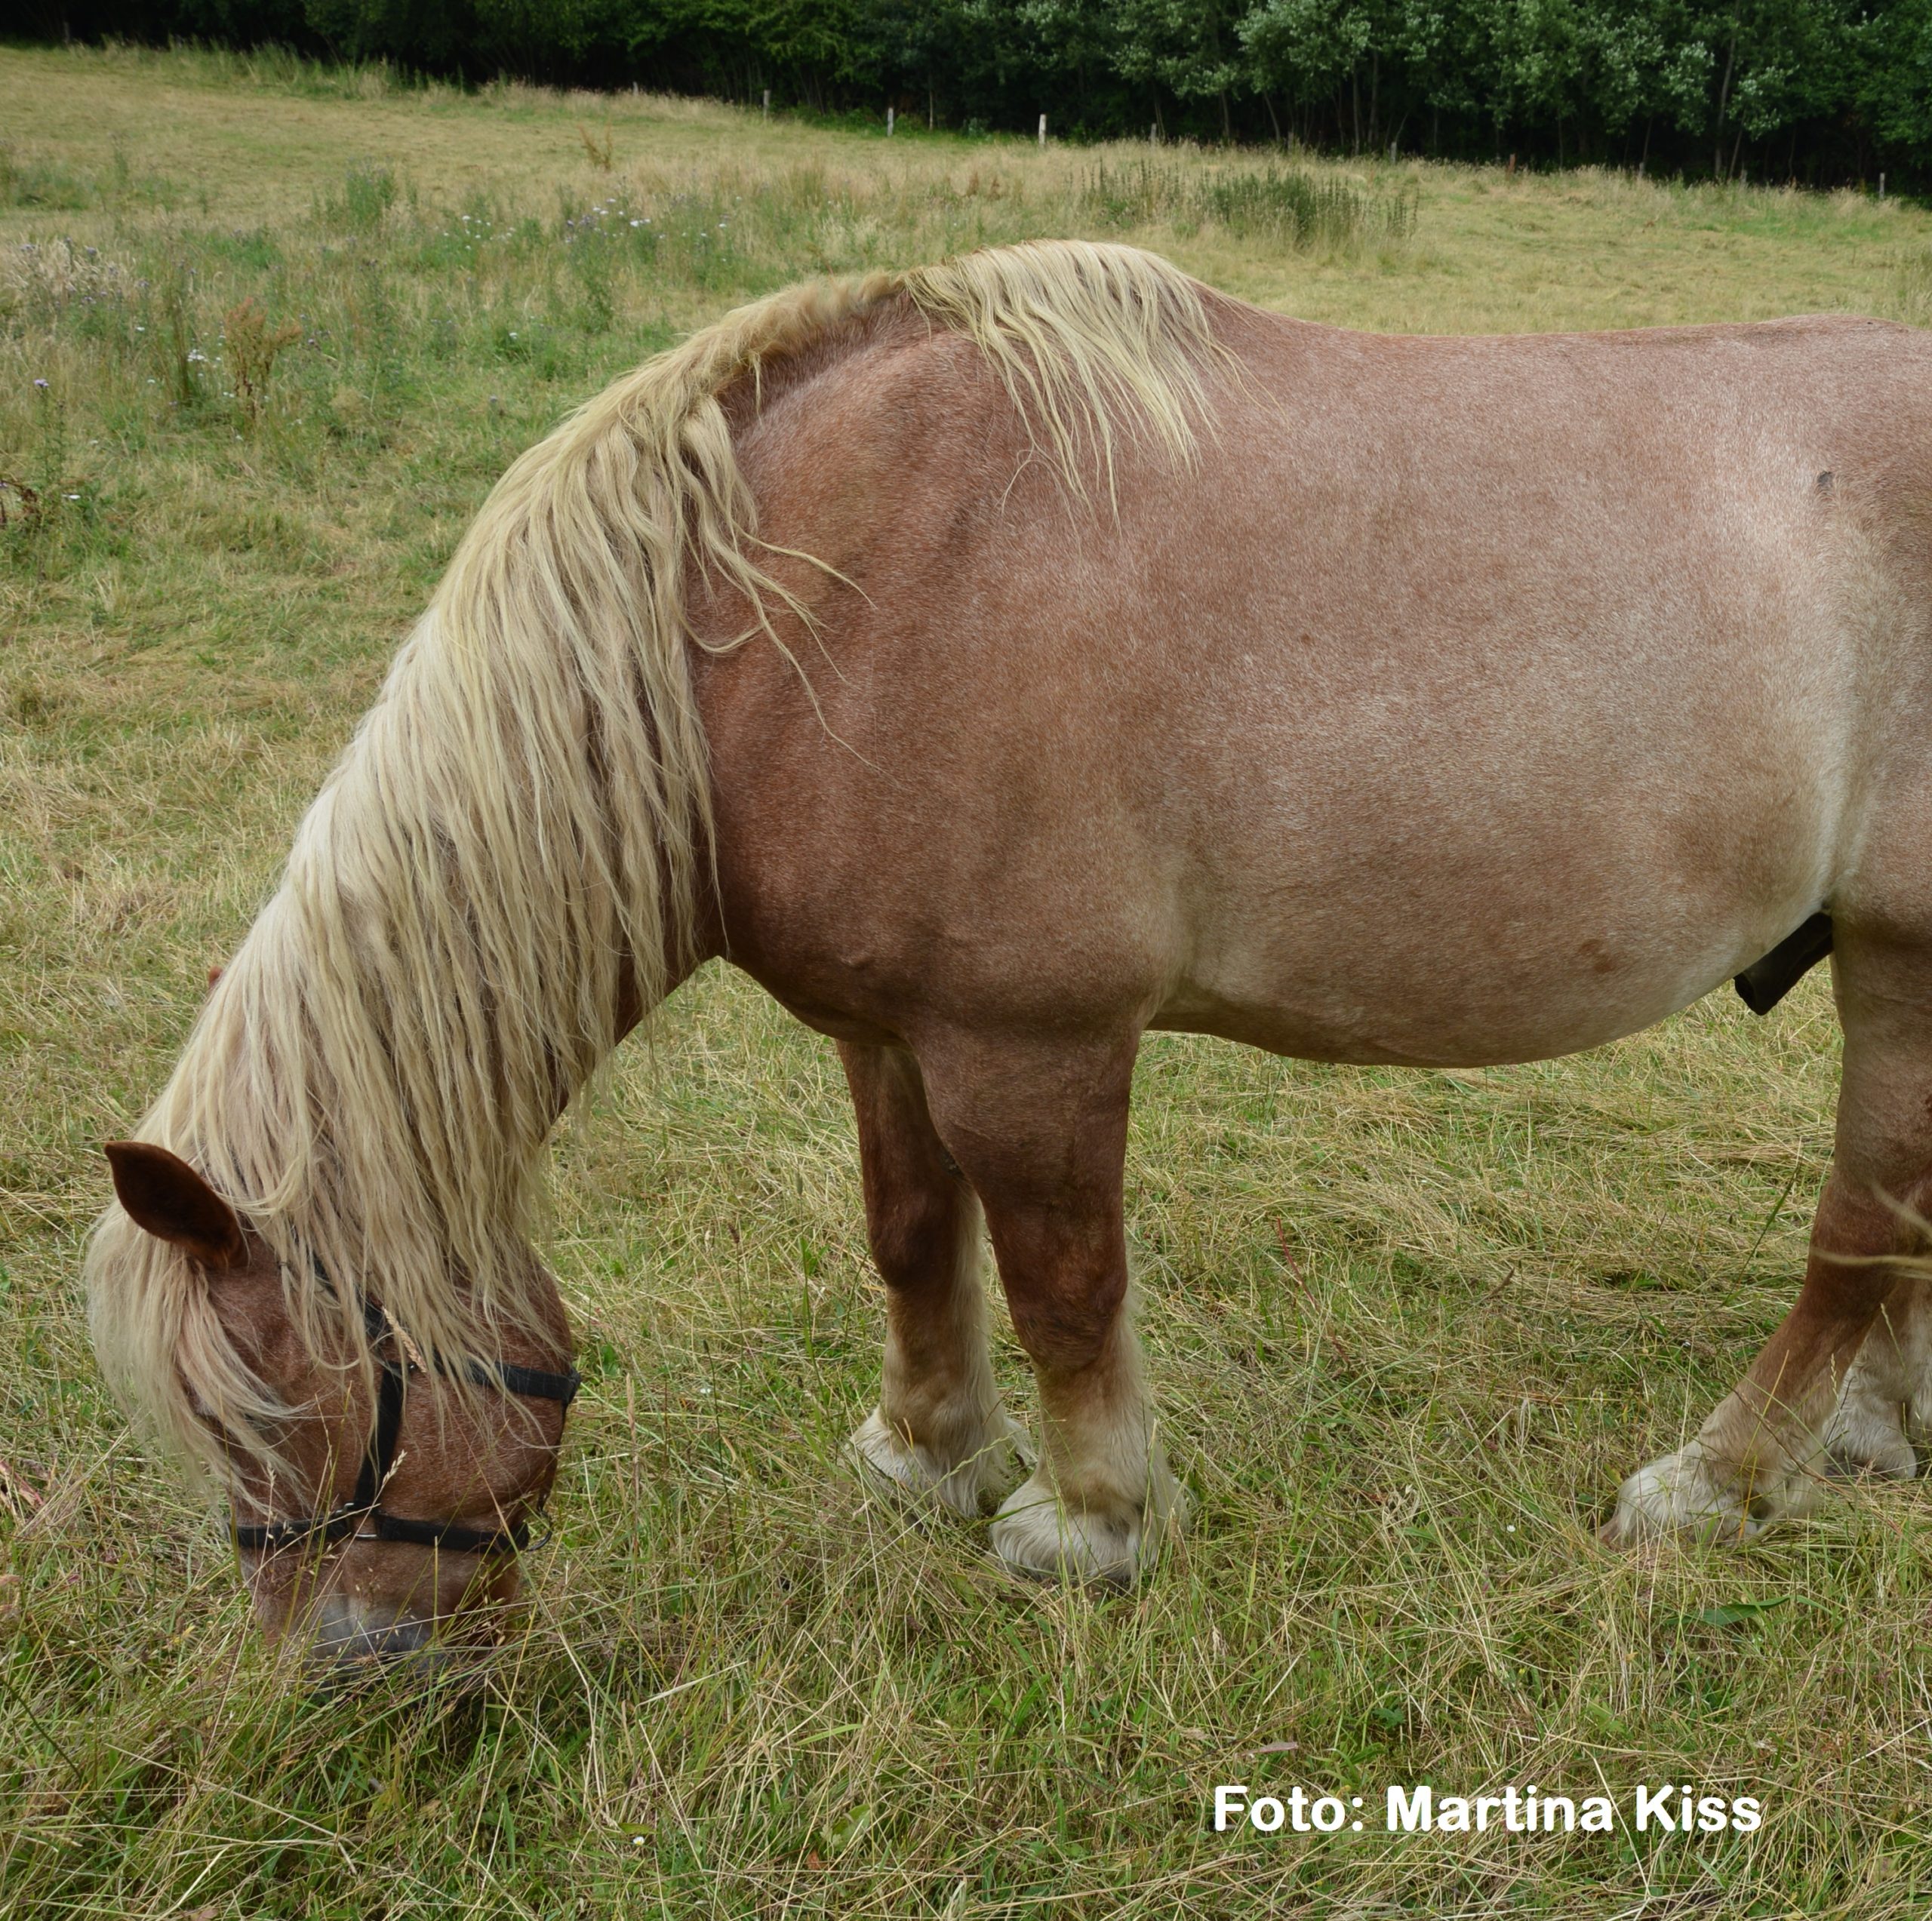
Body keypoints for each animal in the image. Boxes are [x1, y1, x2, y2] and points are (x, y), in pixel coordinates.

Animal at [86, 238, 1932, 1667]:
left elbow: (1061, 1278)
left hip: (1899, 958)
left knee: (1855, 1231)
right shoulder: (886, 1028)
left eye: (300, 1422)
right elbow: (913, 1236)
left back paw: (1724, 1479)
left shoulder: (1030, 1042)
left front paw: (1091, 1523)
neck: (796, 599)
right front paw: (927, 1455)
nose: (356, 1674)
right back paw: (1875, 1437)